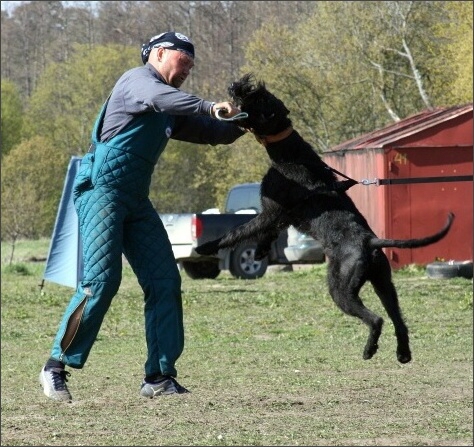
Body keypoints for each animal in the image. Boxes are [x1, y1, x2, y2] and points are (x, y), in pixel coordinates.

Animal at [194, 72, 454, 364]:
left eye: (259, 98)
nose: (237, 84)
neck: (289, 151)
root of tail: (370, 242)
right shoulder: (280, 216)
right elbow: (267, 234)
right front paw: (260, 252)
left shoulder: (271, 211)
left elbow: (237, 232)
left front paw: (206, 247)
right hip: (384, 285)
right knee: (398, 320)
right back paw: (403, 354)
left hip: (340, 288)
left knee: (375, 319)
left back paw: (369, 350)